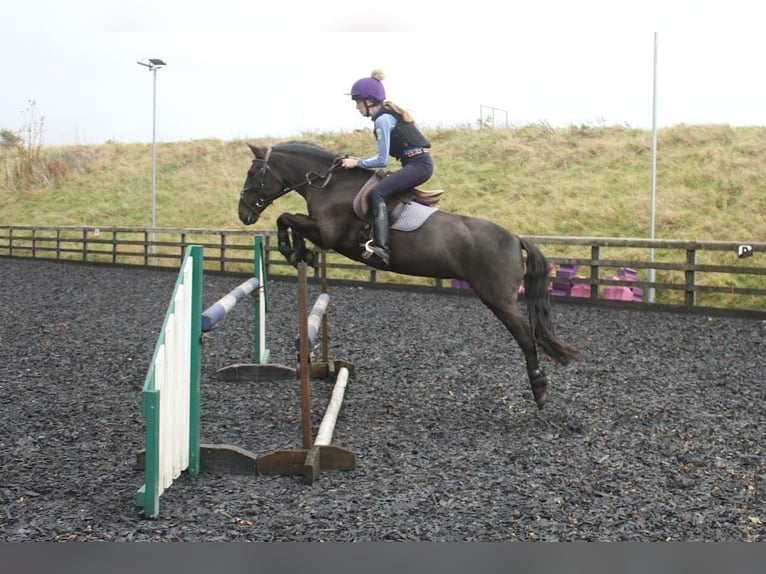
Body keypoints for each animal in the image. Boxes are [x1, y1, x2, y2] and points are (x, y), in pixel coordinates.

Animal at [237, 141, 580, 410]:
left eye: (253, 173)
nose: (243, 214)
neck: (330, 184)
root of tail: (515, 238)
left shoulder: (328, 233)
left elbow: (285, 218)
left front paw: (290, 250)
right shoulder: (320, 232)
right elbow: (290, 221)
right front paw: (300, 254)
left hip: (498, 300)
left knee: (526, 337)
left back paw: (539, 389)